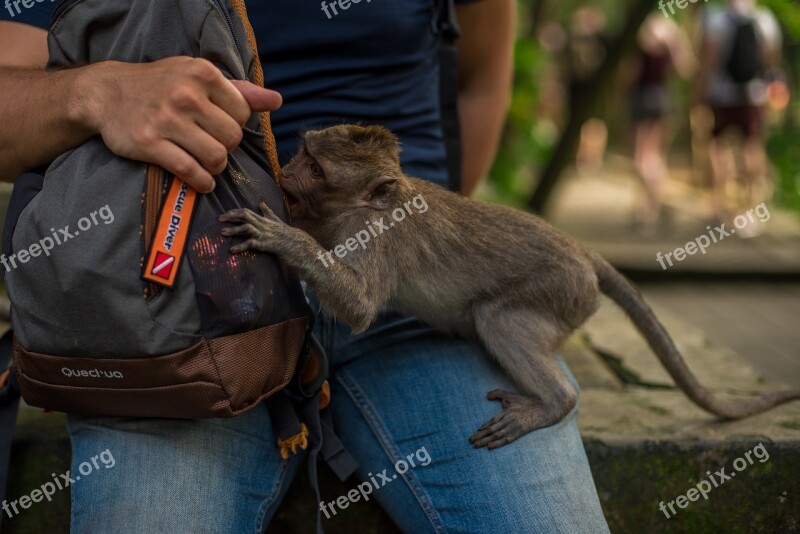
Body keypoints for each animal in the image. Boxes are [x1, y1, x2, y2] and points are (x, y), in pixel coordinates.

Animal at [219, 123, 800, 450]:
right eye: (302, 155)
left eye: (315, 169)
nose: (285, 173)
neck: (365, 205)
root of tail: (583, 253)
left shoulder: (378, 236)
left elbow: (360, 307)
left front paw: (282, 239)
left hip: (562, 290)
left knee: (496, 318)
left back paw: (555, 402)